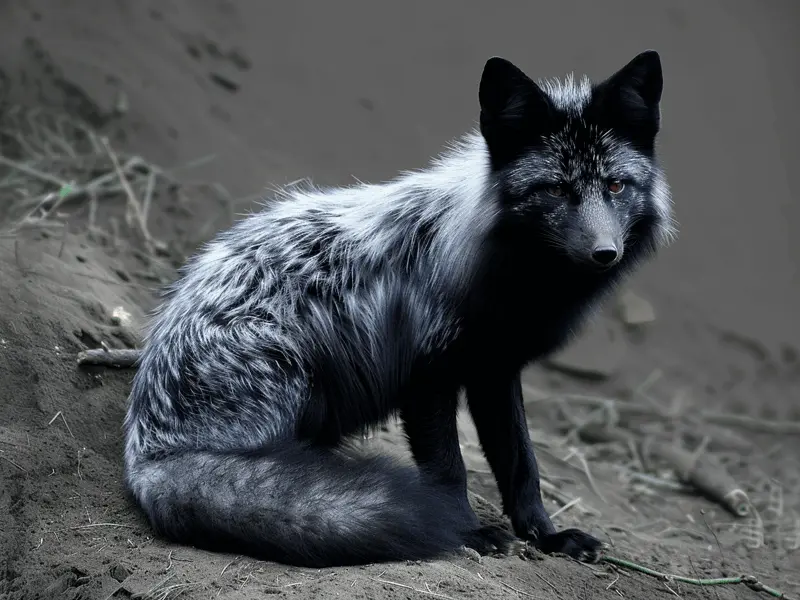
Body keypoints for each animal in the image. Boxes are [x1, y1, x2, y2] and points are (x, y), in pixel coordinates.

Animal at [122, 50, 675, 568]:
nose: (604, 253)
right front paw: (463, 532)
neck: (510, 279)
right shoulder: (428, 374)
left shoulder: (495, 369)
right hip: (295, 379)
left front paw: (545, 535)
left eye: (616, 186)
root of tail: (147, 450)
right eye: (556, 189)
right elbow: (449, 470)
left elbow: (522, 464)